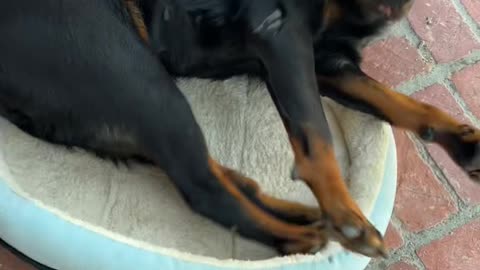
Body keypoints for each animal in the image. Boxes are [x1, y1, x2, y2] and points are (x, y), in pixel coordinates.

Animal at [0, 0, 480, 258]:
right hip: (137, 75)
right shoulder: (283, 35)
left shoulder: (330, 60)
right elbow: (316, 134)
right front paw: (347, 215)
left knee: (203, 172)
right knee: (203, 189)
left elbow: (398, 101)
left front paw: (461, 140)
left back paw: (294, 211)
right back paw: (304, 236)